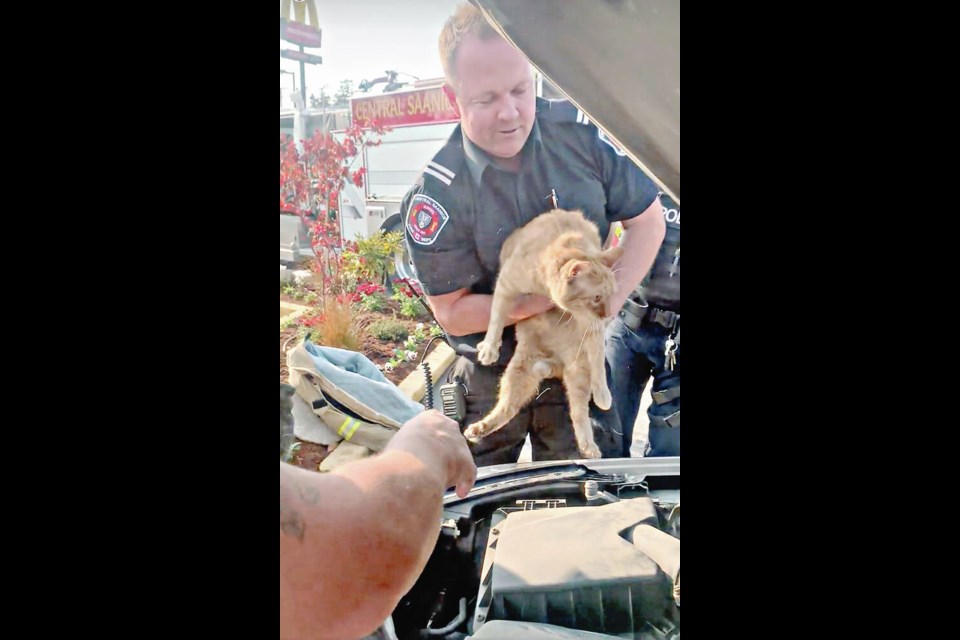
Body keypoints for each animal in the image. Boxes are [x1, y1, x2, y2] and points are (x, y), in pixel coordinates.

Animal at [464, 208, 624, 458]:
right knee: (507, 410)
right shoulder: (505, 285)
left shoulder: (592, 330)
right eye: (597, 297)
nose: (608, 314)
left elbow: (599, 364)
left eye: (612, 294)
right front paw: (490, 347)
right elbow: (496, 317)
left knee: (579, 413)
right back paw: (479, 429)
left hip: (578, 376)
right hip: (517, 376)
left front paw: (603, 394)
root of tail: (556, 365)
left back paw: (589, 445)